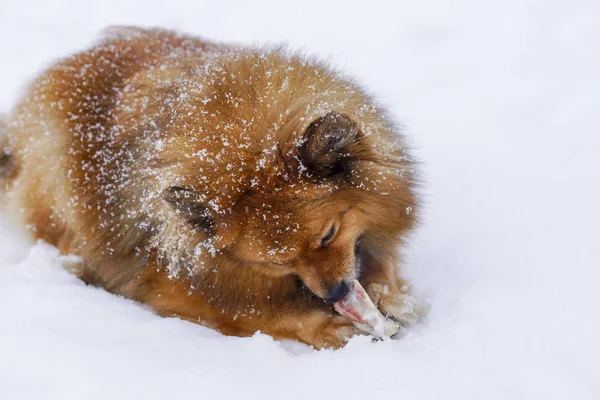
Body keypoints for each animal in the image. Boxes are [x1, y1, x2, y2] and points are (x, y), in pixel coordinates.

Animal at [1, 26, 422, 348]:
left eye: (329, 235)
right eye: (279, 263)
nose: (334, 294)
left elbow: (382, 260)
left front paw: (389, 294)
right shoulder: (174, 287)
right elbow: (264, 311)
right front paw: (328, 325)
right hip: (55, 164)